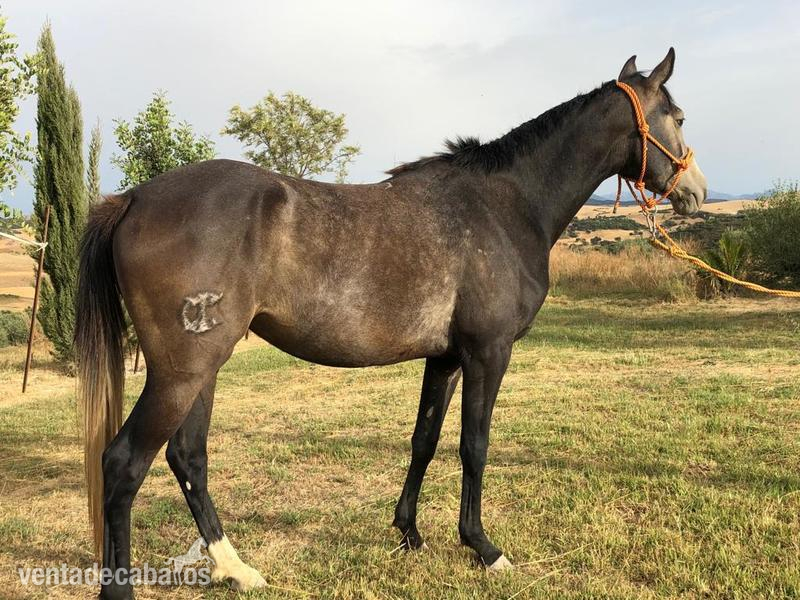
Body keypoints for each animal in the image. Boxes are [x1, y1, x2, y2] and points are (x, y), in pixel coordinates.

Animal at [76, 48, 706, 598]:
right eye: (677, 117)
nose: (696, 192)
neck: (506, 205)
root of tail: (133, 199)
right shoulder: (488, 352)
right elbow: (474, 445)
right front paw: (484, 548)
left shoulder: (446, 358)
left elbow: (425, 440)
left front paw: (409, 533)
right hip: (181, 373)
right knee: (125, 463)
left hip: (201, 369)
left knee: (187, 457)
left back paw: (238, 570)